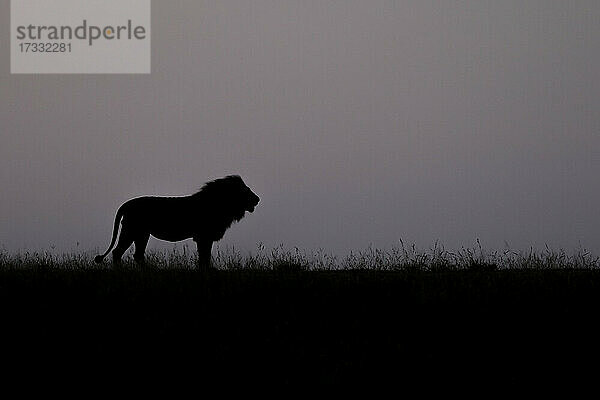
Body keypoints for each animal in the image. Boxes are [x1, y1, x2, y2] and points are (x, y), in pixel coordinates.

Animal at [95, 175, 258, 268]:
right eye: (245, 190)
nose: (258, 199)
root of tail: (126, 204)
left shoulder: (204, 237)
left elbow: (204, 255)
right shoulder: (204, 237)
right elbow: (205, 255)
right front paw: (207, 270)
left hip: (142, 235)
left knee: (137, 255)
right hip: (131, 231)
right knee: (117, 252)